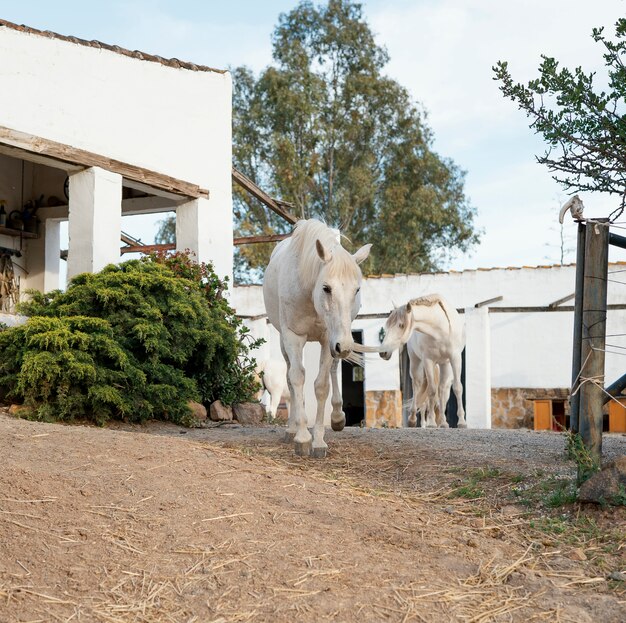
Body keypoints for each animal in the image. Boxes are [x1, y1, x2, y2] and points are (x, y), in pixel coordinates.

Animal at [262, 219, 372, 458]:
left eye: (357, 290)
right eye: (326, 288)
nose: (345, 346)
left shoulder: (328, 338)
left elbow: (321, 385)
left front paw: (319, 441)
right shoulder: (293, 337)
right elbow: (296, 379)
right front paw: (302, 438)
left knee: (333, 369)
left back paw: (338, 417)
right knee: (289, 380)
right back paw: (291, 429)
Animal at [378, 294, 466, 428]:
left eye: (401, 325)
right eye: (387, 326)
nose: (383, 352)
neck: (440, 330)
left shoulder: (455, 358)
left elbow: (457, 387)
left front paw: (461, 422)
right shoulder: (428, 360)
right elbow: (431, 390)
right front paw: (431, 422)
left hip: (444, 364)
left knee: (442, 390)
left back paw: (443, 422)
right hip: (416, 362)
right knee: (417, 385)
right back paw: (413, 419)